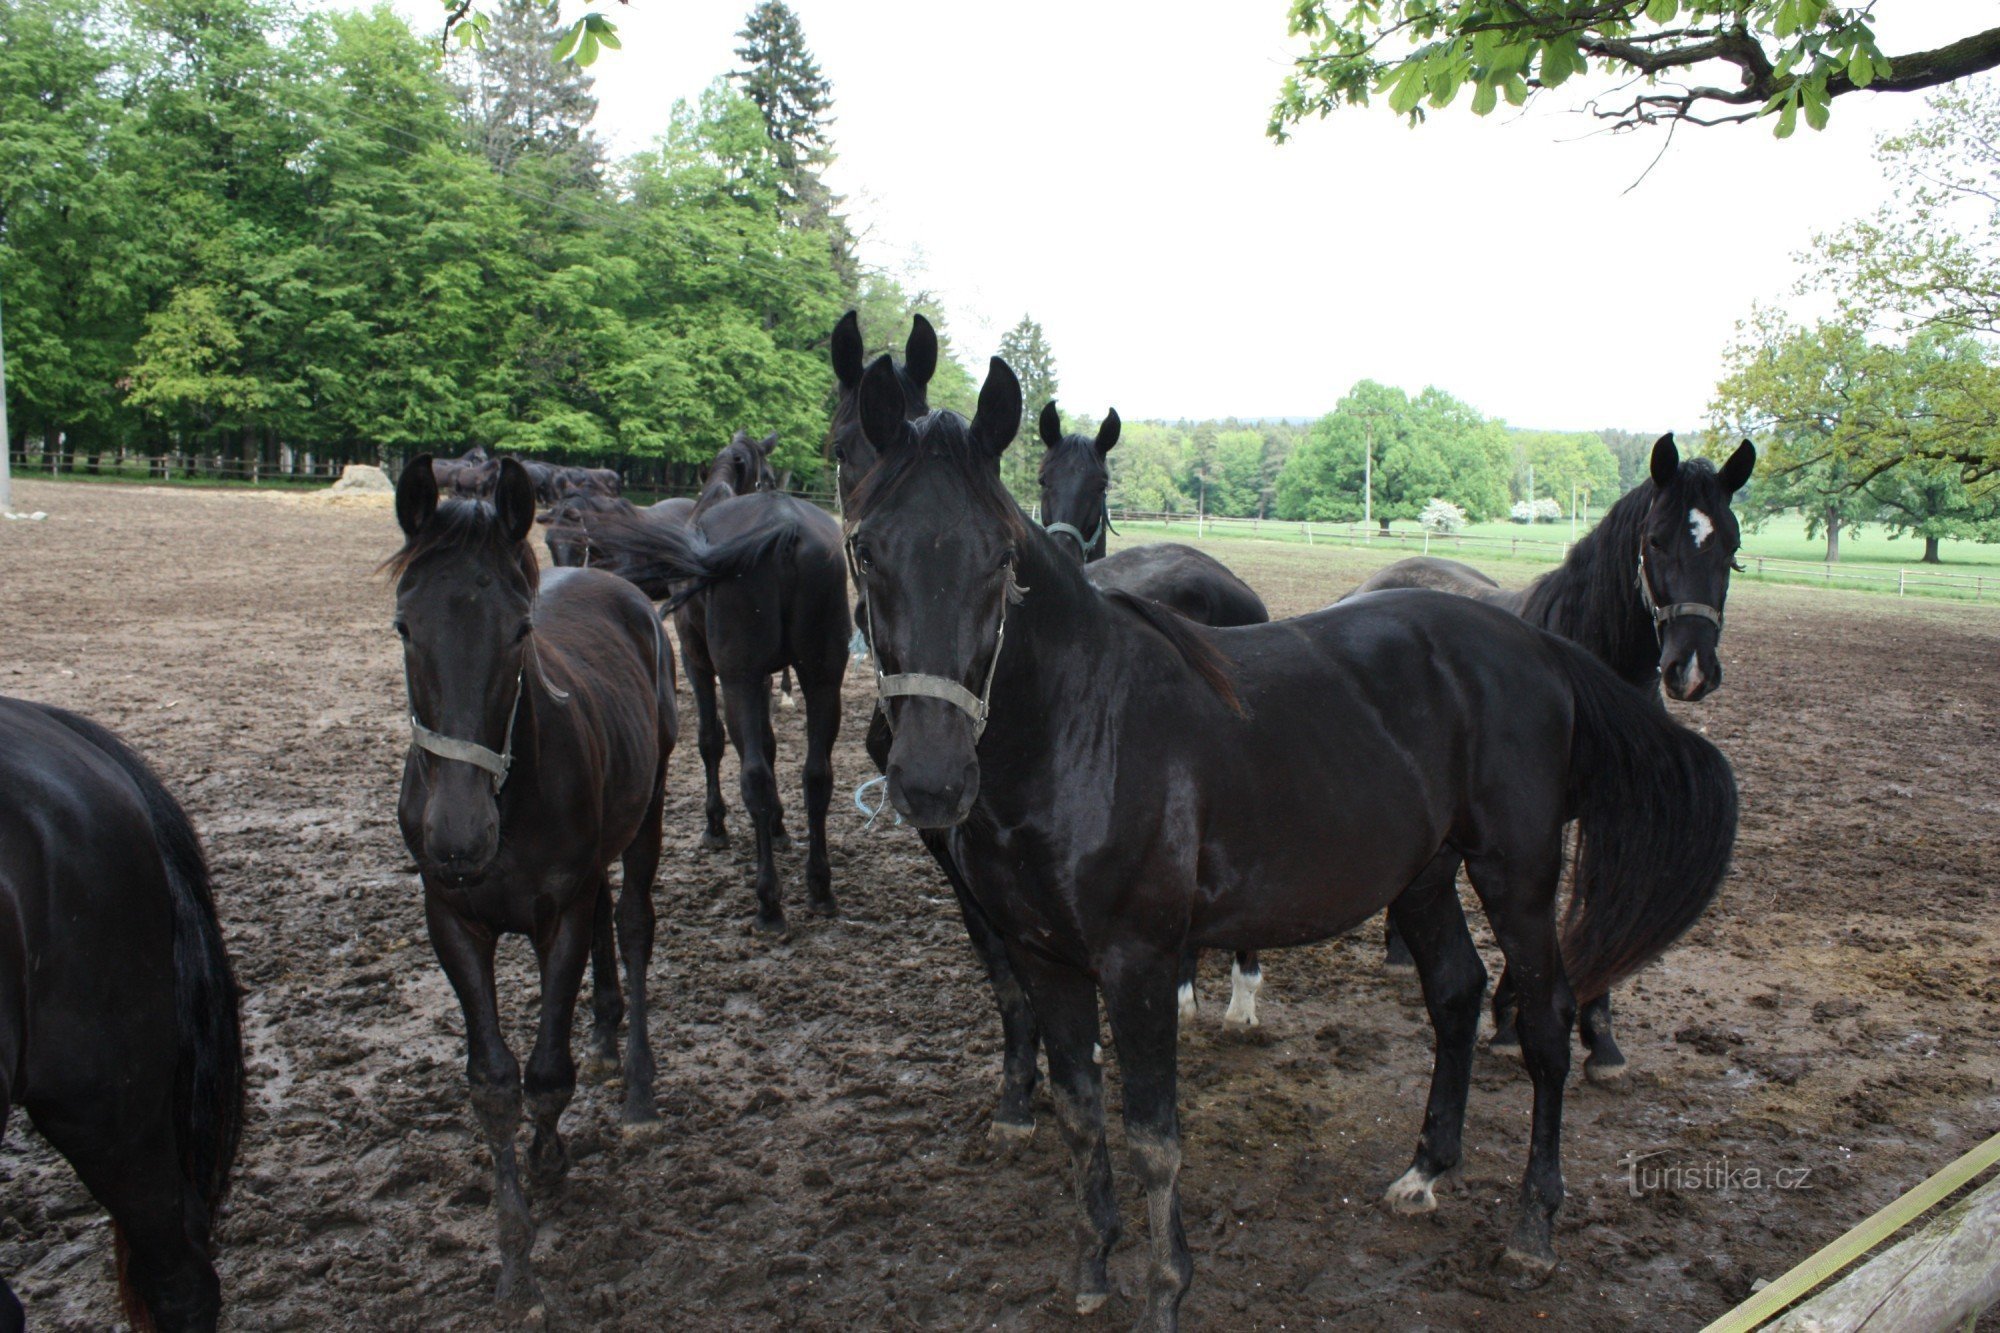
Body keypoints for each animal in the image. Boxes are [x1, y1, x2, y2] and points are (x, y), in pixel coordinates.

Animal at [390, 460, 680, 1296]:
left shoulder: (561, 910)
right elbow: (493, 1083)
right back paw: (607, 1029)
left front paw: (551, 1157)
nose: (458, 834)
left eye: (518, 631)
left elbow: (548, 1072)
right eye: (404, 626)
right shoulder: (451, 918)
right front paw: (514, 1254)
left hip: (650, 805)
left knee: (632, 921)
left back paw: (636, 1079)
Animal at [1352, 430, 1760, 1072]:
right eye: (1654, 540)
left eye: (1733, 547)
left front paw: (1599, 1037)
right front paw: (1511, 1019)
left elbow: (1589, 897)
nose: (1691, 670)